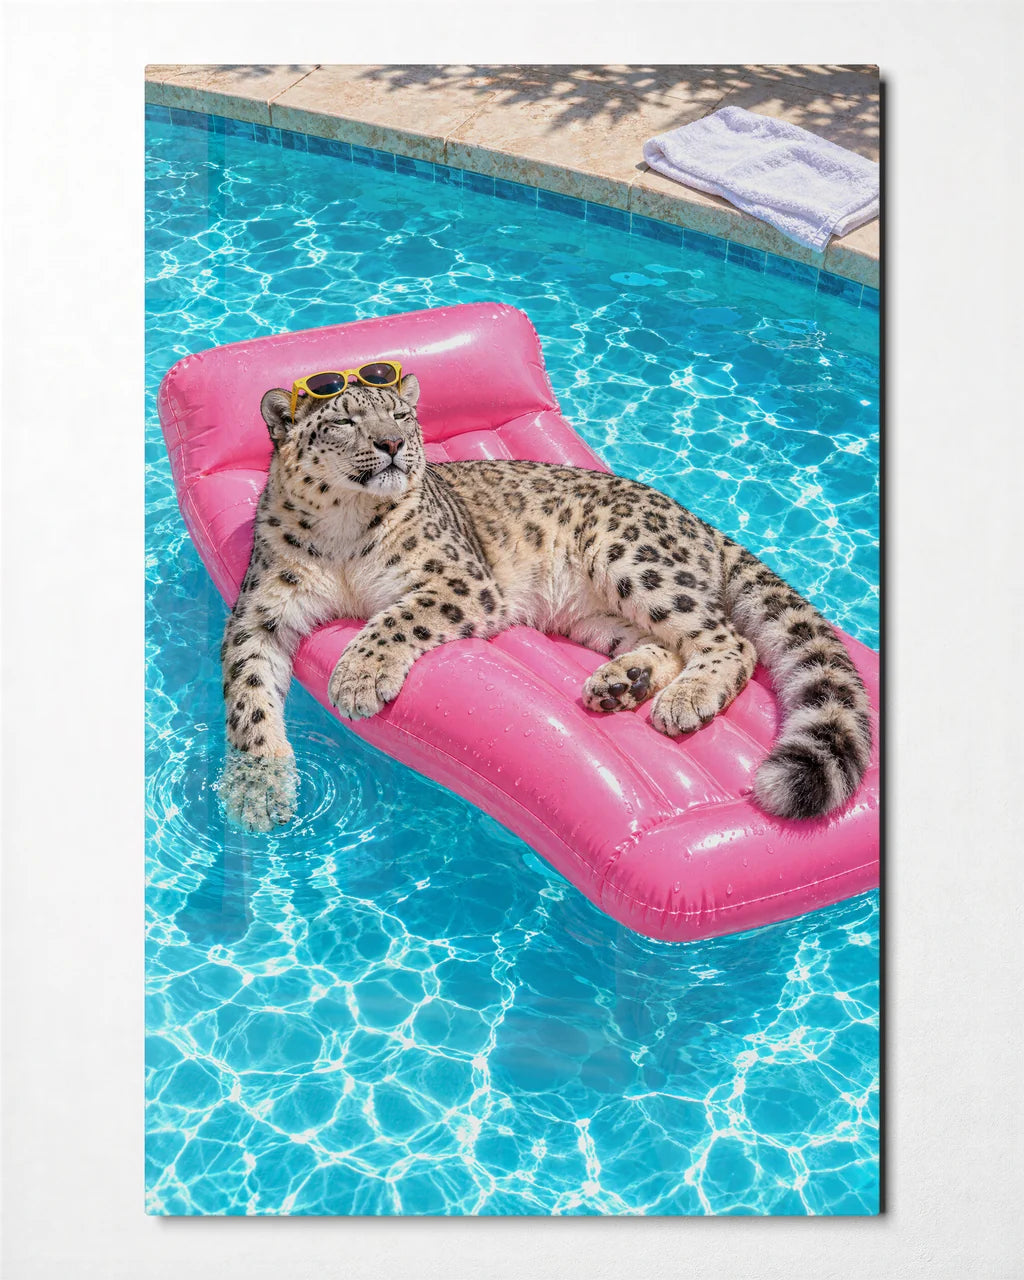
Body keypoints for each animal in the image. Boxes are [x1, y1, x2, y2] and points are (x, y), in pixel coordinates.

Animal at [217, 374, 872, 833]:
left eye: (401, 415)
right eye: (346, 421)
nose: (393, 443)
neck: (344, 532)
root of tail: (699, 522)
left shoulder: (459, 579)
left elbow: (395, 619)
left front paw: (357, 677)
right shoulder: (259, 614)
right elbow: (247, 700)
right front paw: (258, 791)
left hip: (631, 559)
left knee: (726, 637)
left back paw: (686, 700)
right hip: (598, 614)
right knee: (664, 641)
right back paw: (622, 683)